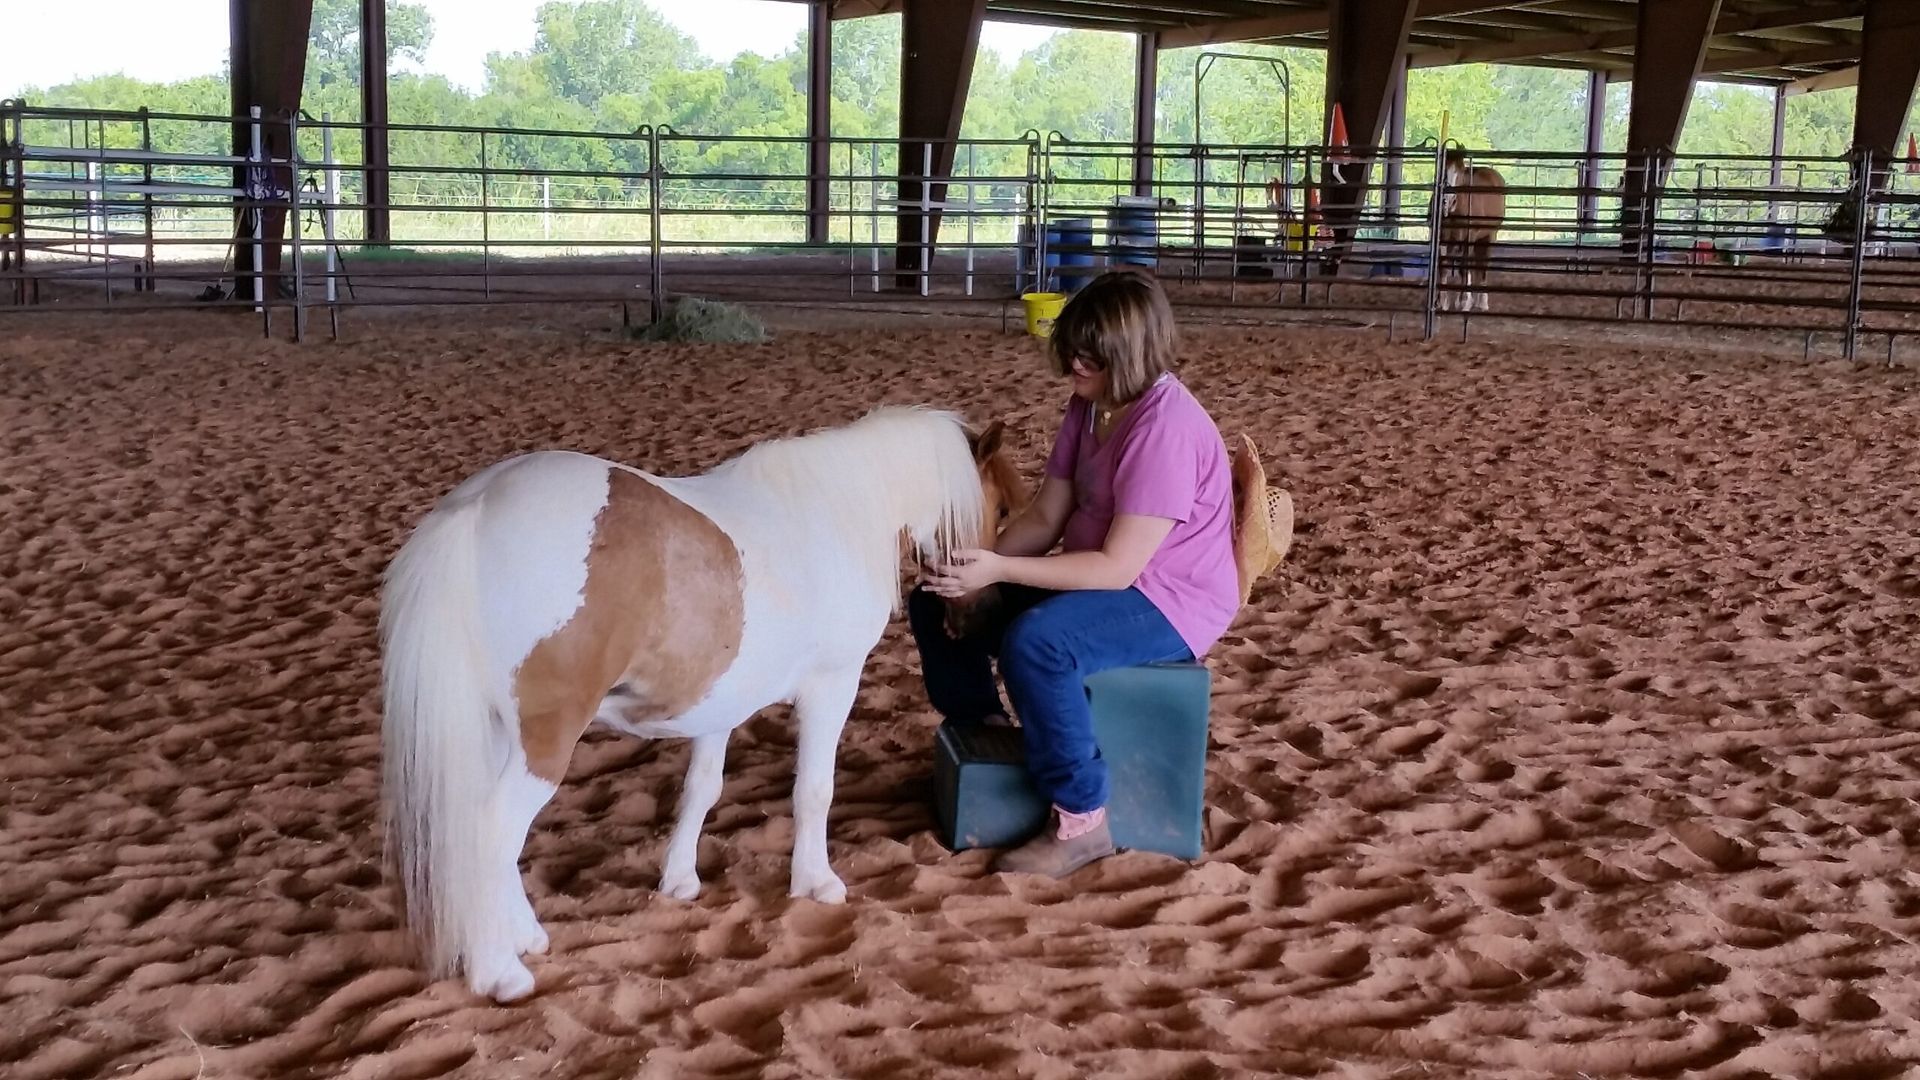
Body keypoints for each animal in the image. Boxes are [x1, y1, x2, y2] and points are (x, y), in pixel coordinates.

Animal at [378, 406, 1023, 1003]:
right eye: (1003, 511)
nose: (981, 617)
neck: (835, 515)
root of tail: (477, 508)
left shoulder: (720, 703)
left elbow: (701, 790)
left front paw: (680, 881)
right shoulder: (833, 683)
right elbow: (814, 790)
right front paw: (816, 882)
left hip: (492, 732)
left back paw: (522, 936)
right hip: (546, 737)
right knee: (492, 830)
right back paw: (501, 971)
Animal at [1437, 148, 1507, 313]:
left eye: (1461, 171)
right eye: (1442, 168)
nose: (1448, 200)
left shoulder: (1469, 236)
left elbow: (1464, 267)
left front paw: (1464, 302)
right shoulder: (1444, 237)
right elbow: (1443, 267)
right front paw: (1442, 303)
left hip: (1488, 236)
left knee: (1482, 265)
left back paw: (1482, 302)